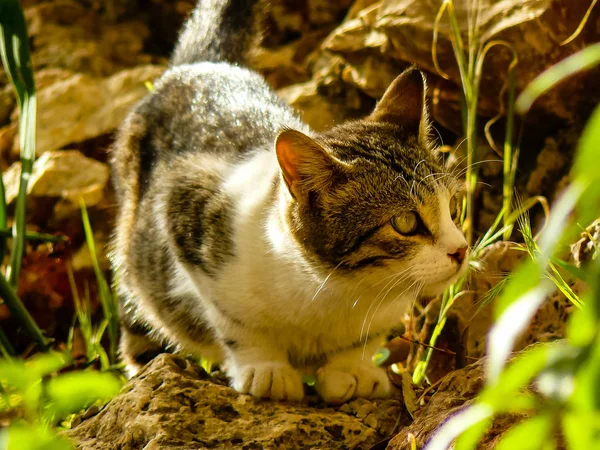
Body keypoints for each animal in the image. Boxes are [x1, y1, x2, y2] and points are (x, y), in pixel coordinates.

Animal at [111, 0, 468, 404]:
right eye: (405, 222)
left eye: (453, 207)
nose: (461, 250)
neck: (339, 292)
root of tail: (202, 64)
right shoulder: (187, 207)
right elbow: (237, 324)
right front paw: (265, 368)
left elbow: (364, 340)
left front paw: (352, 370)